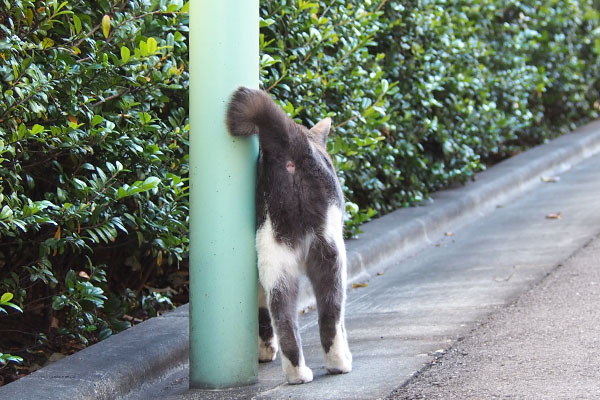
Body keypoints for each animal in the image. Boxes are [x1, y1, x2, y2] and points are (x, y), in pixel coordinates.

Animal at [227, 86, 354, 384]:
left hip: (274, 252)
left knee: (282, 313)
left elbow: (262, 314)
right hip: (331, 250)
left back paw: (297, 373)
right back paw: (339, 363)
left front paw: (264, 351)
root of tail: (292, 140)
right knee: (331, 312)